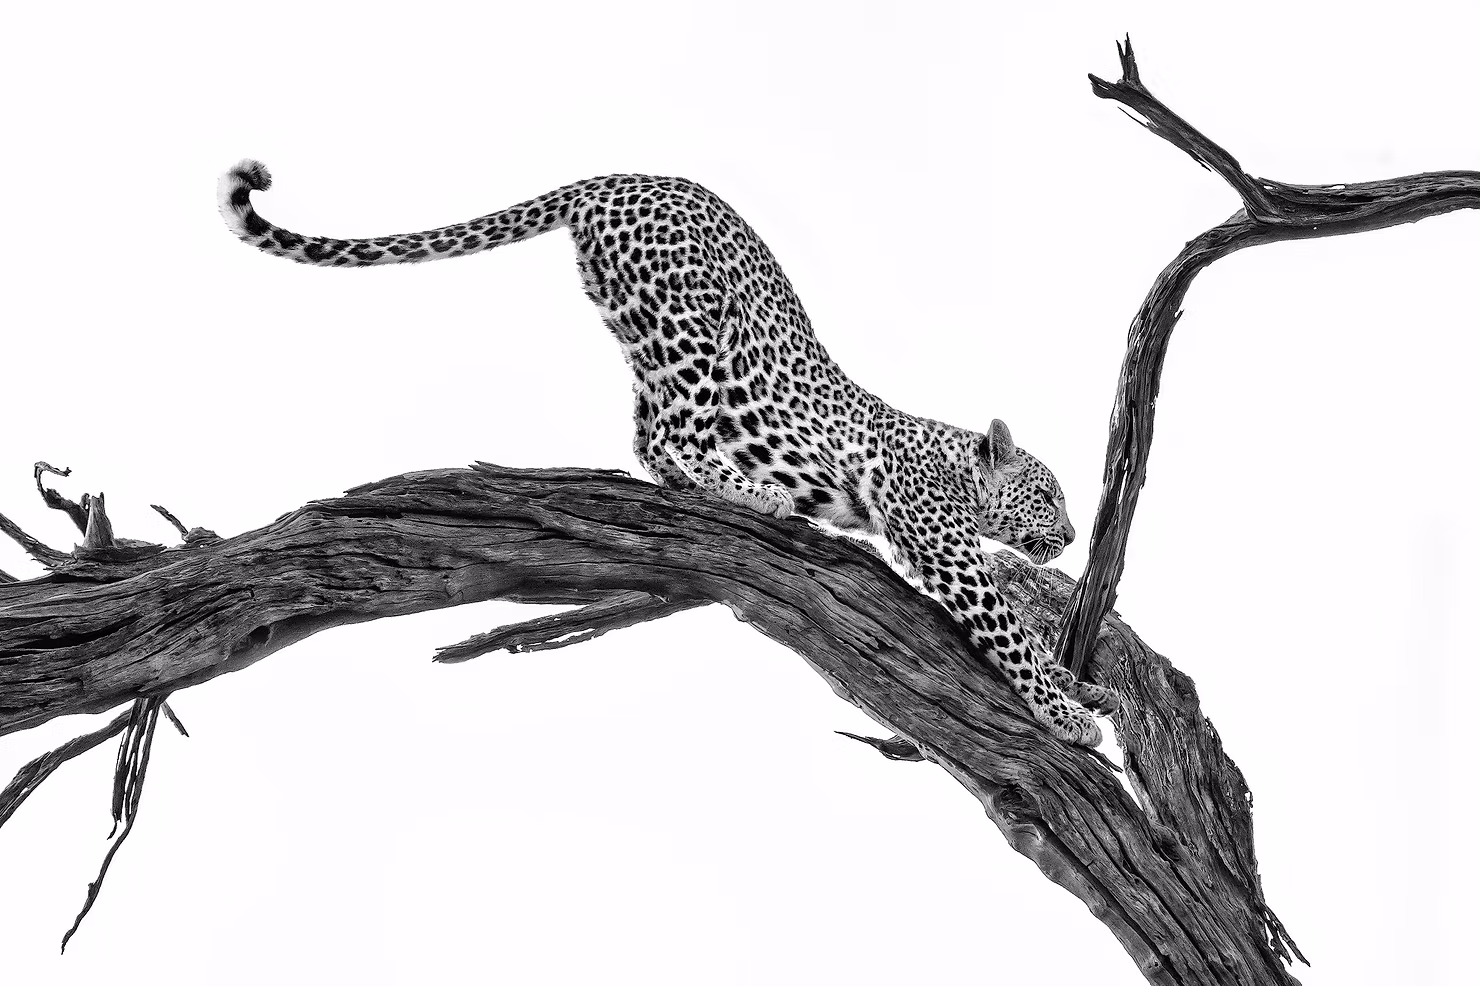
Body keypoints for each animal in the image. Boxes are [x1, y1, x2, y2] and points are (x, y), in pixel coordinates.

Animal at [218, 161, 1115, 745]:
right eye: (1047, 496)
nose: (1074, 536)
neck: (954, 461)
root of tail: (616, 177)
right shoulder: (941, 545)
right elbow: (1011, 636)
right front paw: (1065, 714)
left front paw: (1084, 690)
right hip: (692, 322)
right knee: (674, 433)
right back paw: (754, 493)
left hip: (643, 333)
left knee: (648, 435)